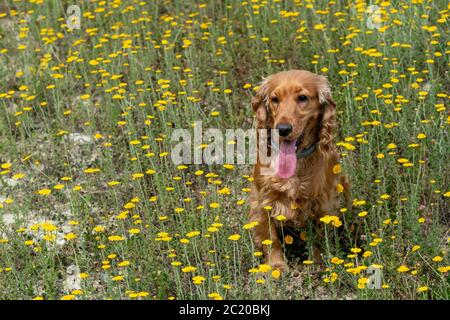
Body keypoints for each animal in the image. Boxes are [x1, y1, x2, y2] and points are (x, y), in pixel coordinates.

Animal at [248, 69, 350, 272]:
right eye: (275, 99)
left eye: (302, 98)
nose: (282, 129)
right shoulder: (263, 200)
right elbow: (270, 238)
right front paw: (276, 267)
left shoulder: (324, 203)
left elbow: (319, 237)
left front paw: (318, 263)